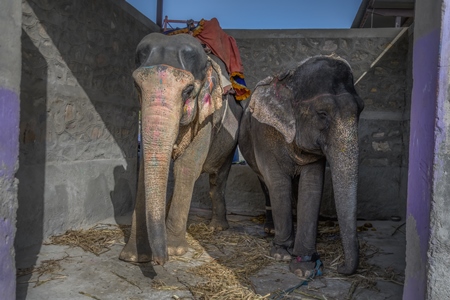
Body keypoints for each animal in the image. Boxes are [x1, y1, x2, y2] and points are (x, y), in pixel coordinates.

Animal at [118, 32, 243, 264]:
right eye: (137, 86)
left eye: (189, 90)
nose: (160, 261)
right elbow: (145, 168)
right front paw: (133, 257)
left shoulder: (208, 117)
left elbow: (186, 166)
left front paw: (174, 251)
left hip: (231, 144)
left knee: (217, 181)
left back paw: (217, 227)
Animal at [237, 55, 364, 276]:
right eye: (322, 113)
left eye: (361, 109)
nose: (339, 267)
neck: (290, 80)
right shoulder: (265, 134)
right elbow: (278, 182)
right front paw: (281, 253)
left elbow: (312, 185)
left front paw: (304, 266)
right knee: (266, 185)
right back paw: (271, 230)